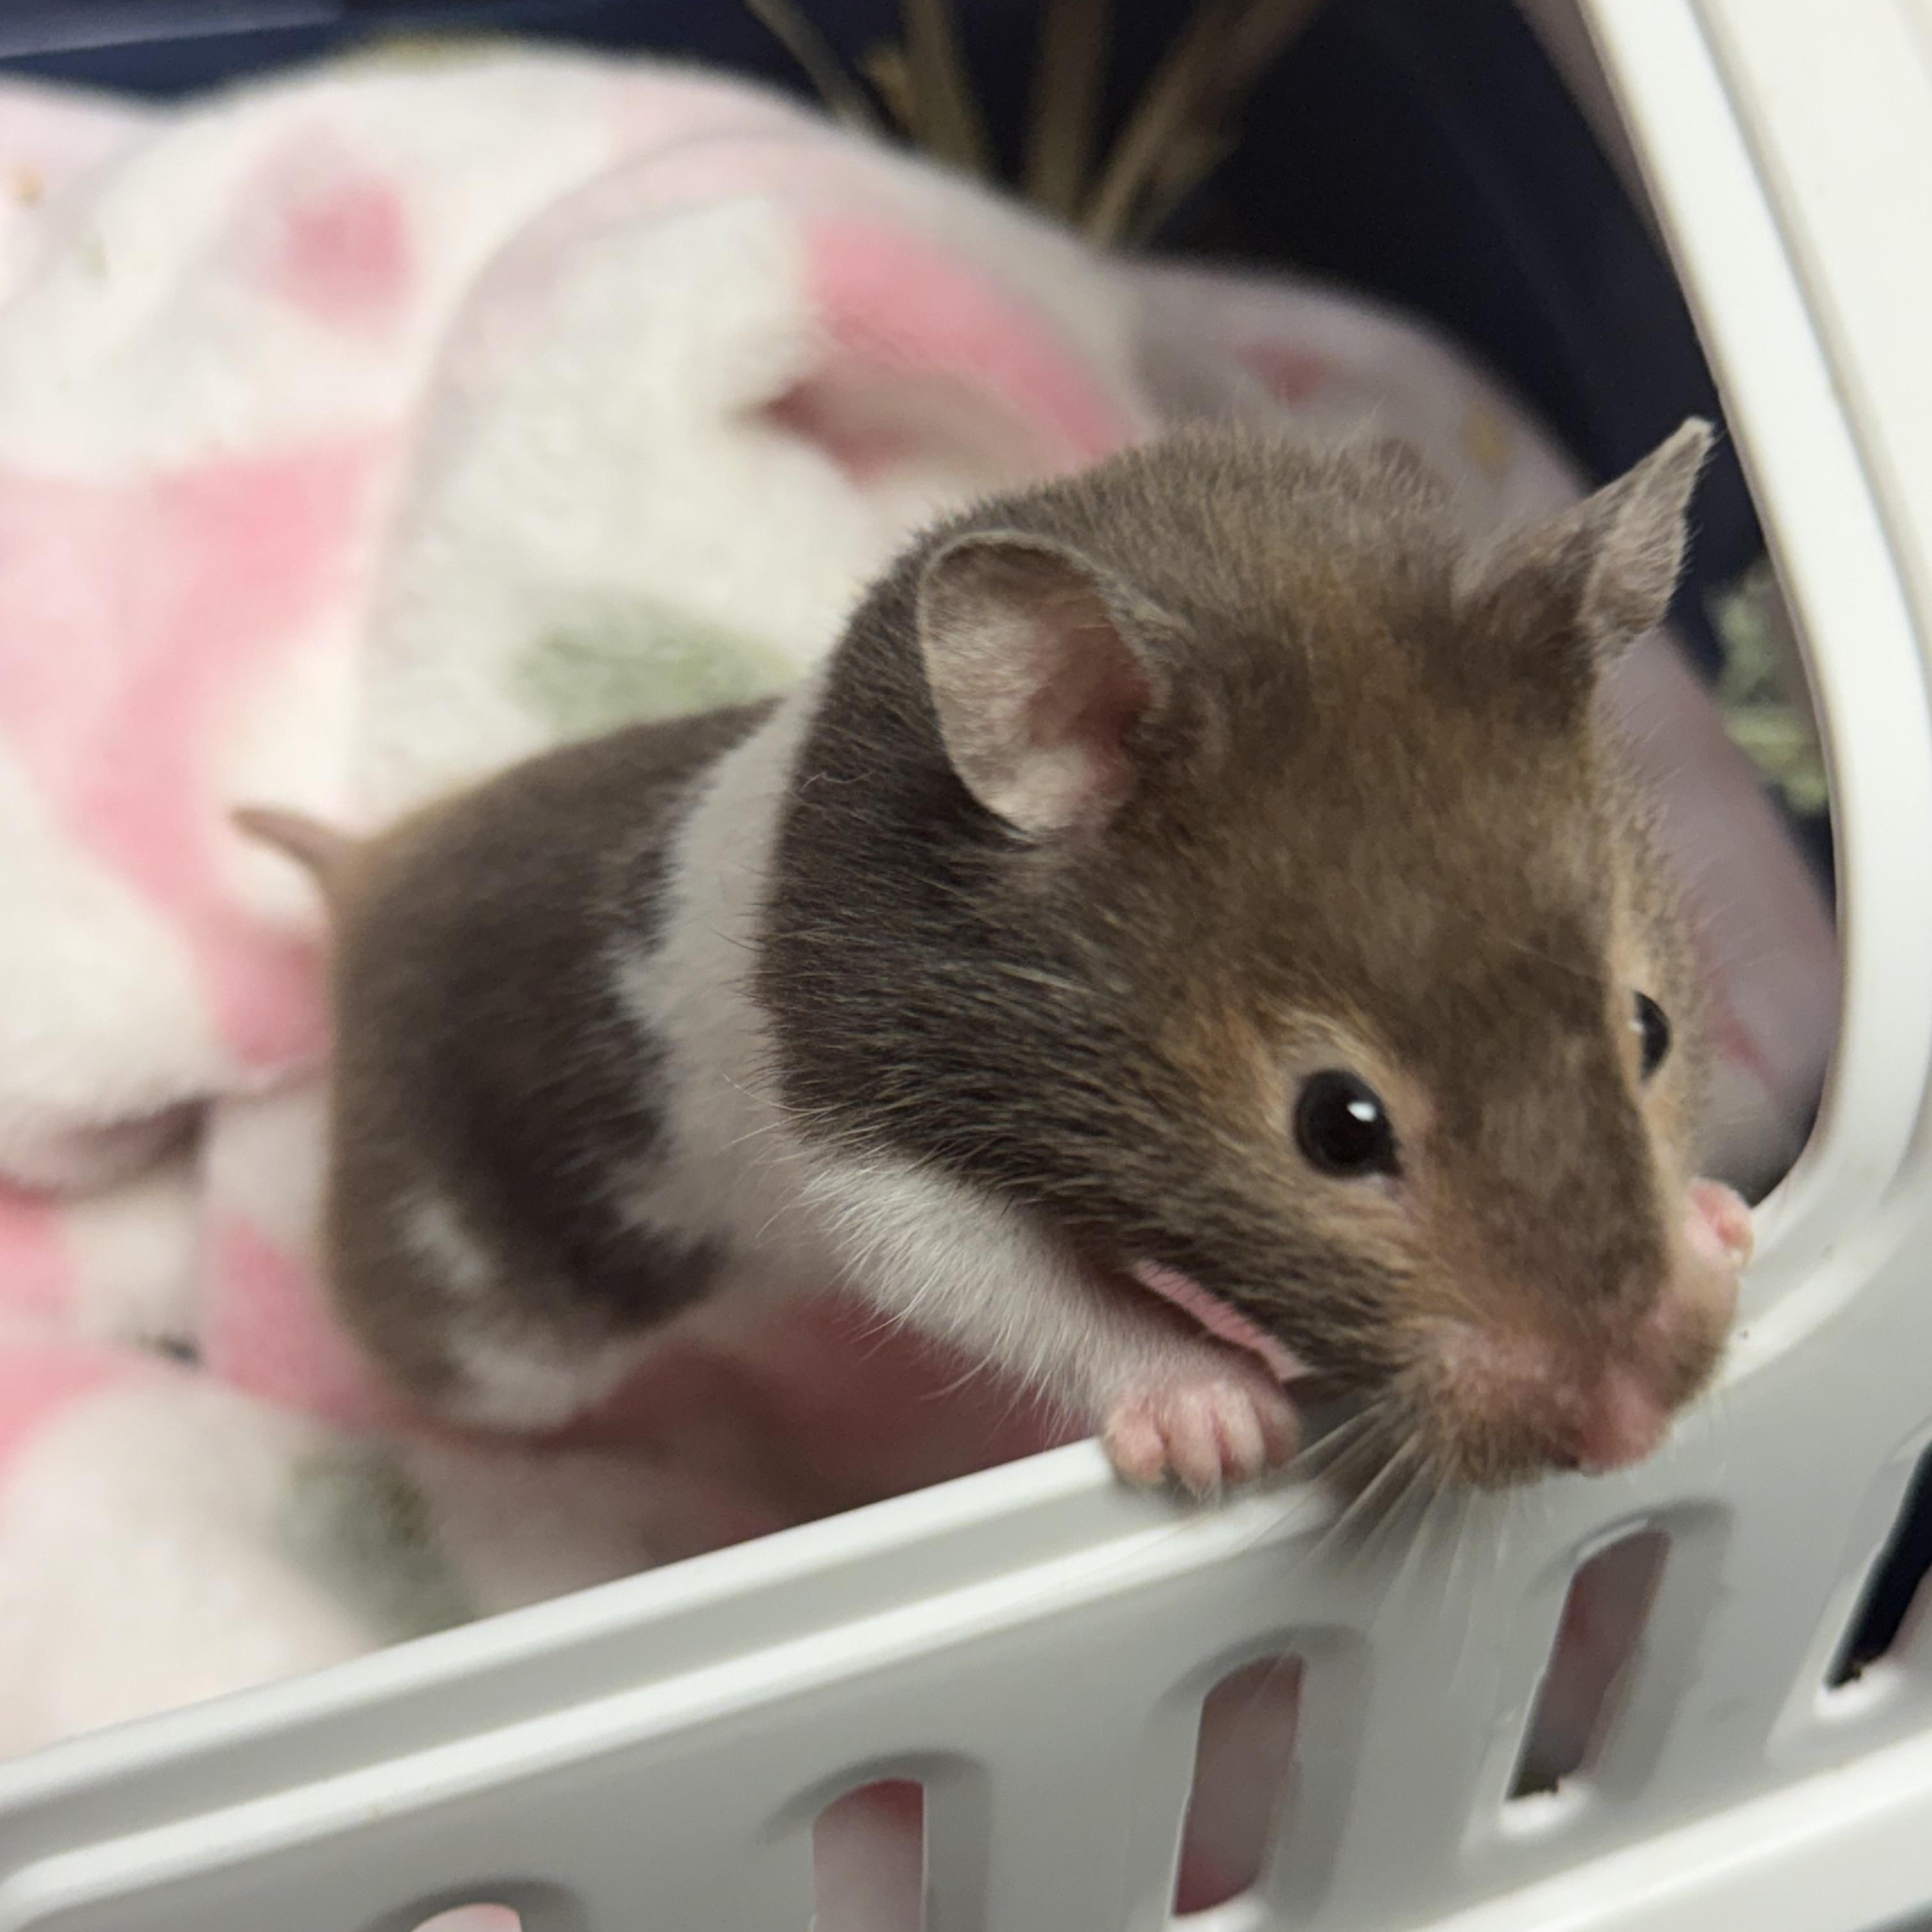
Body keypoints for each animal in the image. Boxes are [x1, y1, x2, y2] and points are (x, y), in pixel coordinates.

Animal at [238, 418, 1754, 1498]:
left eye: (1650, 1028)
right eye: (1338, 1126)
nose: (1632, 1435)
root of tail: (369, 893)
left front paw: (1725, 1220)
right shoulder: (865, 1134)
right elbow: (1002, 1280)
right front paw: (1221, 1427)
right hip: (489, 1321)